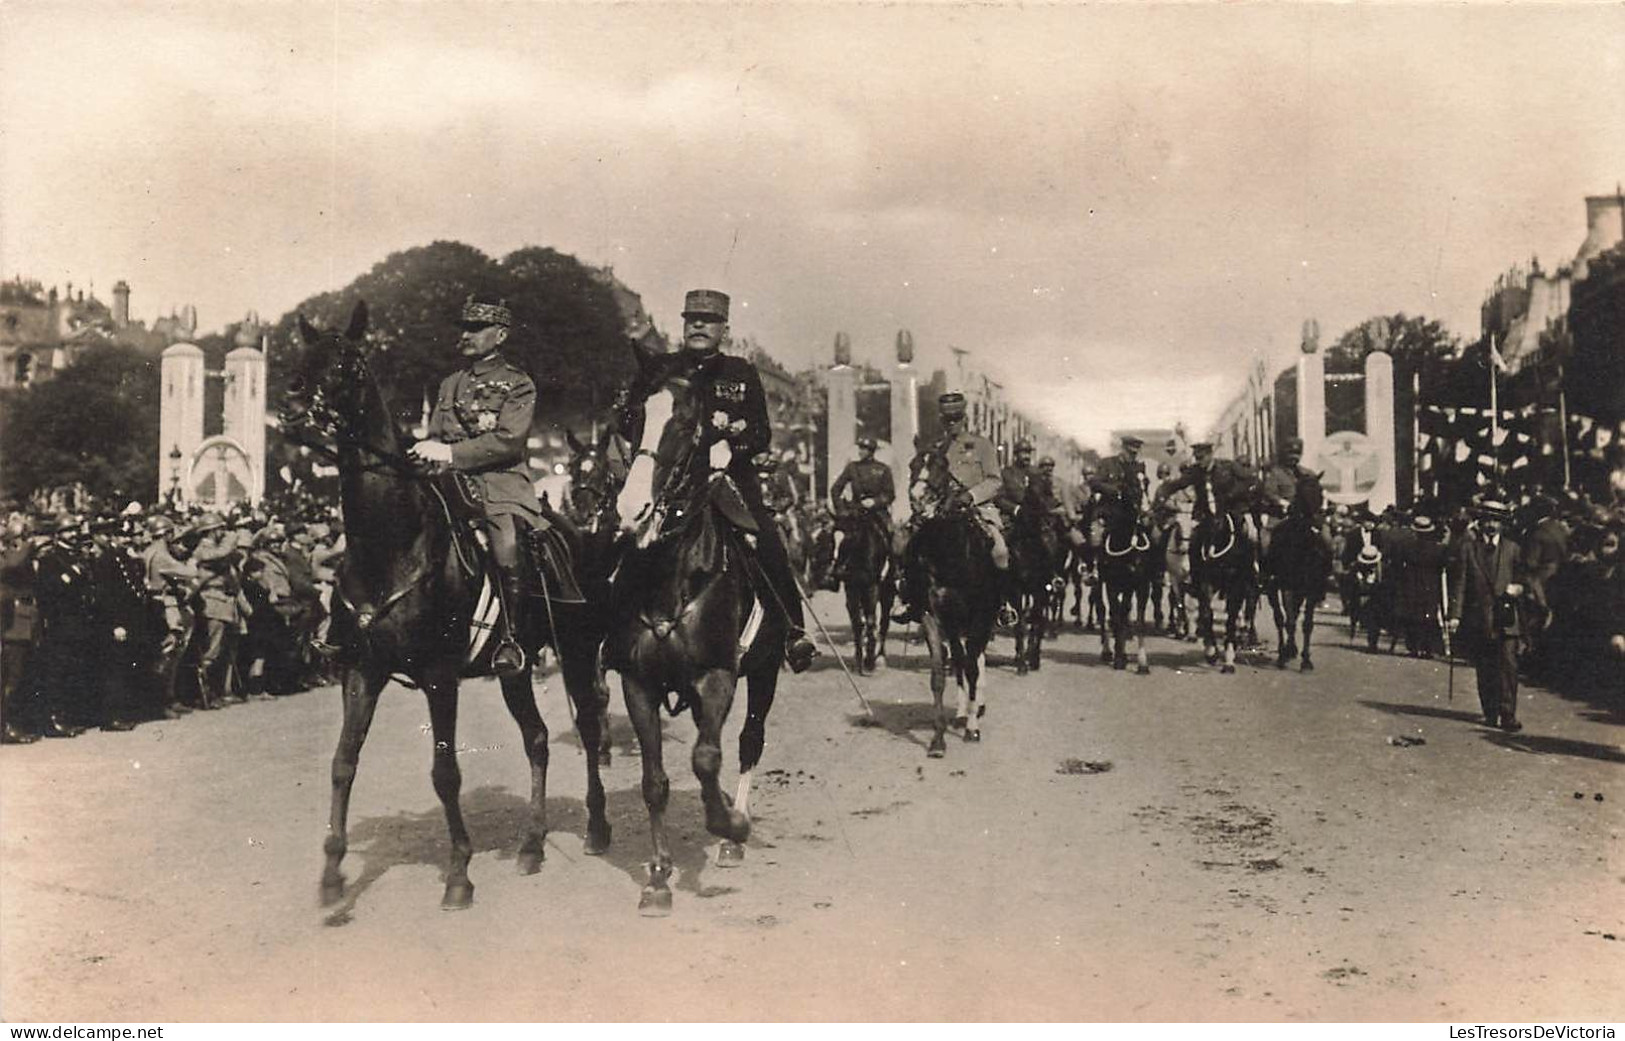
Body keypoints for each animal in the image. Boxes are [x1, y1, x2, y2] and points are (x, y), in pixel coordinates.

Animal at [279, 302, 611, 909]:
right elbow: (342, 764)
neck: (392, 543)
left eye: (347, 363)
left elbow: (445, 772)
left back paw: (597, 828)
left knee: (590, 728)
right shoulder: (360, 670)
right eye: (303, 359)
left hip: (576, 652)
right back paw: (532, 844)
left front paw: (459, 873)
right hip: (516, 669)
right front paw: (333, 874)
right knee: (537, 739)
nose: (290, 412)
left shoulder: (439, 675)